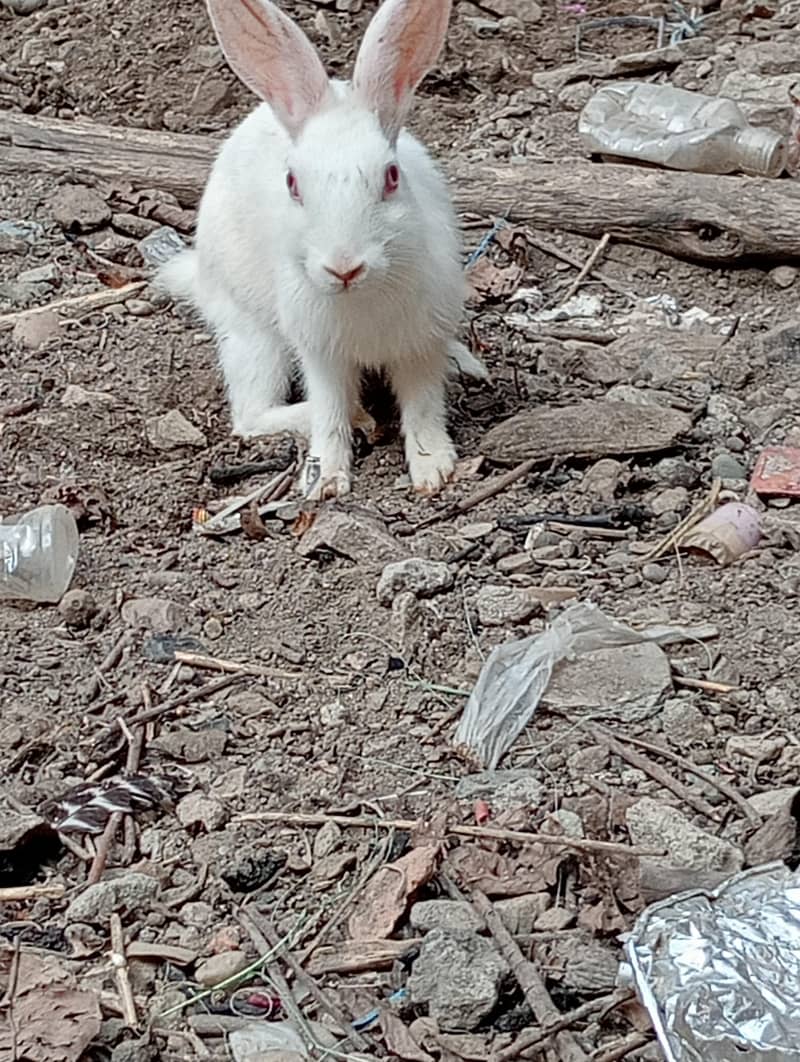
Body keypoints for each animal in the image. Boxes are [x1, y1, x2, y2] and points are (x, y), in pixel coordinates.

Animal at [159, 0, 486, 500]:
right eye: (292, 183)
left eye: (391, 176)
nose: (343, 267)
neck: (362, 298)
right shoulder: (321, 355)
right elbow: (329, 411)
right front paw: (326, 480)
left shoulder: (421, 346)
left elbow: (423, 407)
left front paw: (434, 470)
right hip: (252, 337)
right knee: (252, 415)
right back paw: (355, 416)